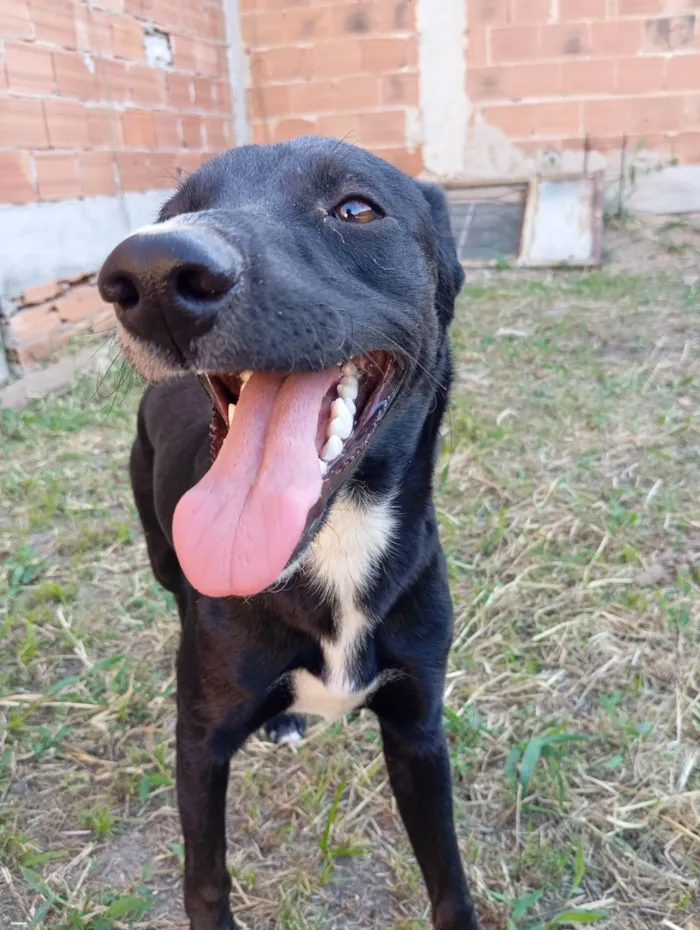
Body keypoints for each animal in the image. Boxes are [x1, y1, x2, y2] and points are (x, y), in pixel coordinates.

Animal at [98, 138, 478, 928]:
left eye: (356, 209)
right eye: (173, 212)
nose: (149, 271)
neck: (337, 544)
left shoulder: (418, 731)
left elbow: (448, 879)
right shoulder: (200, 745)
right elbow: (206, 881)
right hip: (159, 552)